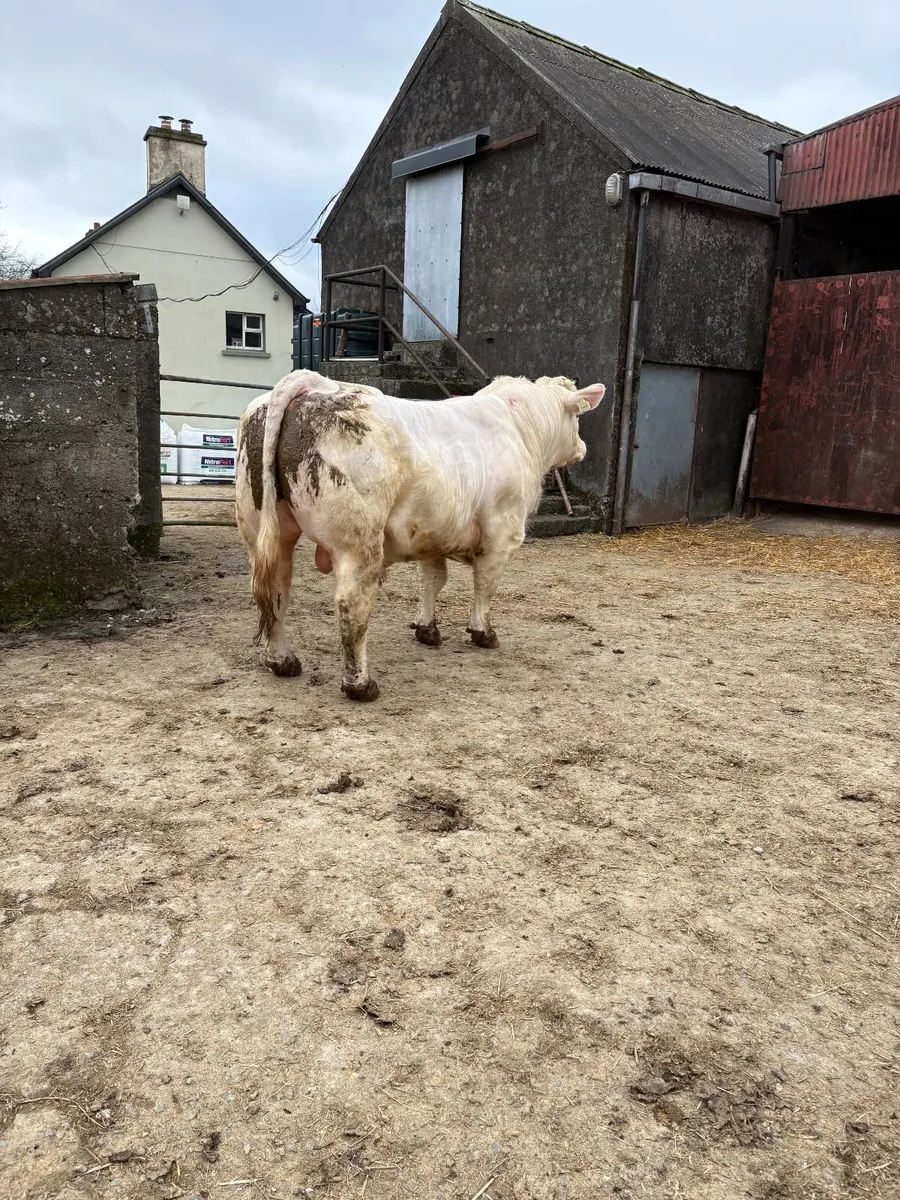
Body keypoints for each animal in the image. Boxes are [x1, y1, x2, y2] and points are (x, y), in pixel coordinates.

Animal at [235, 369, 605, 701]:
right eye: (577, 418)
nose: (583, 447)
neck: (521, 428)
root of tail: (316, 382)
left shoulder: (431, 534)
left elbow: (432, 580)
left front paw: (427, 629)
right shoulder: (503, 532)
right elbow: (485, 585)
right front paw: (483, 633)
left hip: (265, 533)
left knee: (275, 594)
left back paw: (282, 661)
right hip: (358, 543)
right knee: (352, 605)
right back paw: (360, 685)